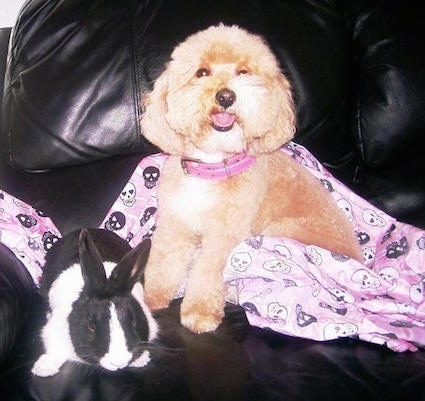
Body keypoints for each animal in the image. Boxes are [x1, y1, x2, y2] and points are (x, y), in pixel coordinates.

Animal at [31, 228, 157, 376]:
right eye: (91, 326)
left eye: (134, 322)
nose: (119, 362)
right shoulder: (53, 330)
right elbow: (55, 349)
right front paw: (43, 368)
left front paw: (141, 360)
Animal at [140, 23, 362, 332]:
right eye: (202, 72)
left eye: (243, 72)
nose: (225, 96)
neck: (213, 166)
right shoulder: (176, 224)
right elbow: (163, 262)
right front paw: (150, 297)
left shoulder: (225, 236)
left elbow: (207, 272)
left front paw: (200, 312)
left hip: (278, 232)